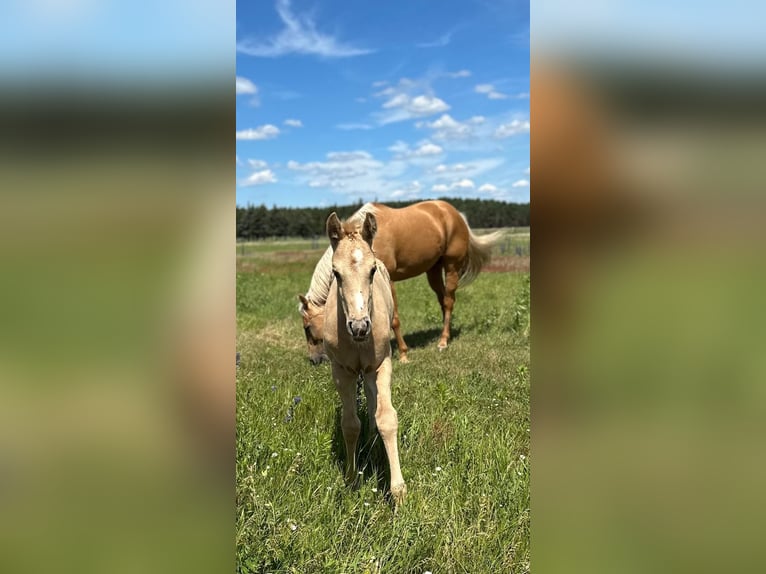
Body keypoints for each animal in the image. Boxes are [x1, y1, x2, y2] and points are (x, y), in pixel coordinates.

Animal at [300, 201, 504, 364]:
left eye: (307, 328)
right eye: (336, 272)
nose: (315, 360)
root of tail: (455, 214)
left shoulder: (387, 279)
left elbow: (394, 319)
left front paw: (404, 354)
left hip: (451, 266)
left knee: (448, 301)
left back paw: (443, 341)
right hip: (433, 270)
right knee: (443, 300)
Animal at [322, 213, 408, 508]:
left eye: (371, 271)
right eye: (336, 273)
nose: (359, 327)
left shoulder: (381, 365)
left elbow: (387, 418)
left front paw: (398, 491)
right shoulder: (342, 371)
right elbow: (349, 424)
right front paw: (351, 479)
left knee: (373, 403)